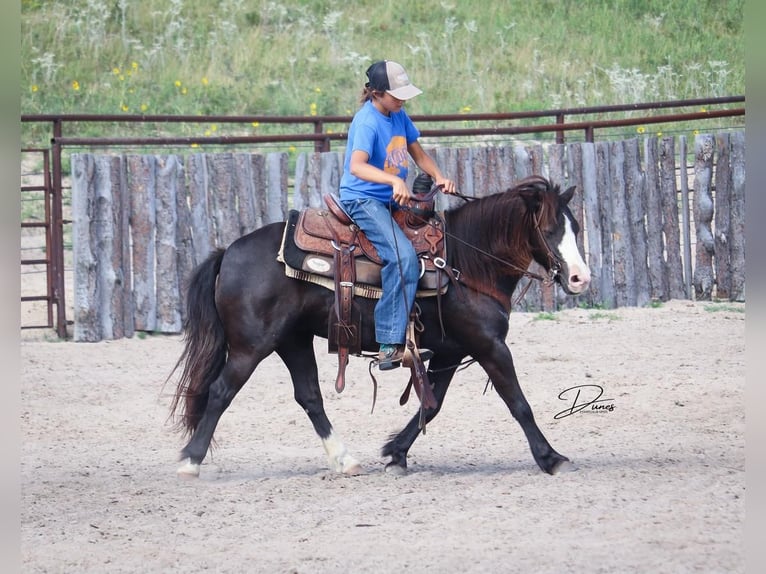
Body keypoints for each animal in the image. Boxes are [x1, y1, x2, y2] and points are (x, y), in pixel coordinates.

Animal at [171, 178, 592, 480]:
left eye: (575, 227)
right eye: (549, 229)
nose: (580, 278)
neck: (466, 262)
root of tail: (228, 251)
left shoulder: (450, 352)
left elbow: (431, 404)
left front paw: (395, 454)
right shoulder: (489, 346)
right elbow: (518, 403)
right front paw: (551, 457)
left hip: (293, 341)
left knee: (309, 397)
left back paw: (345, 461)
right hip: (251, 346)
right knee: (221, 392)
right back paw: (190, 461)